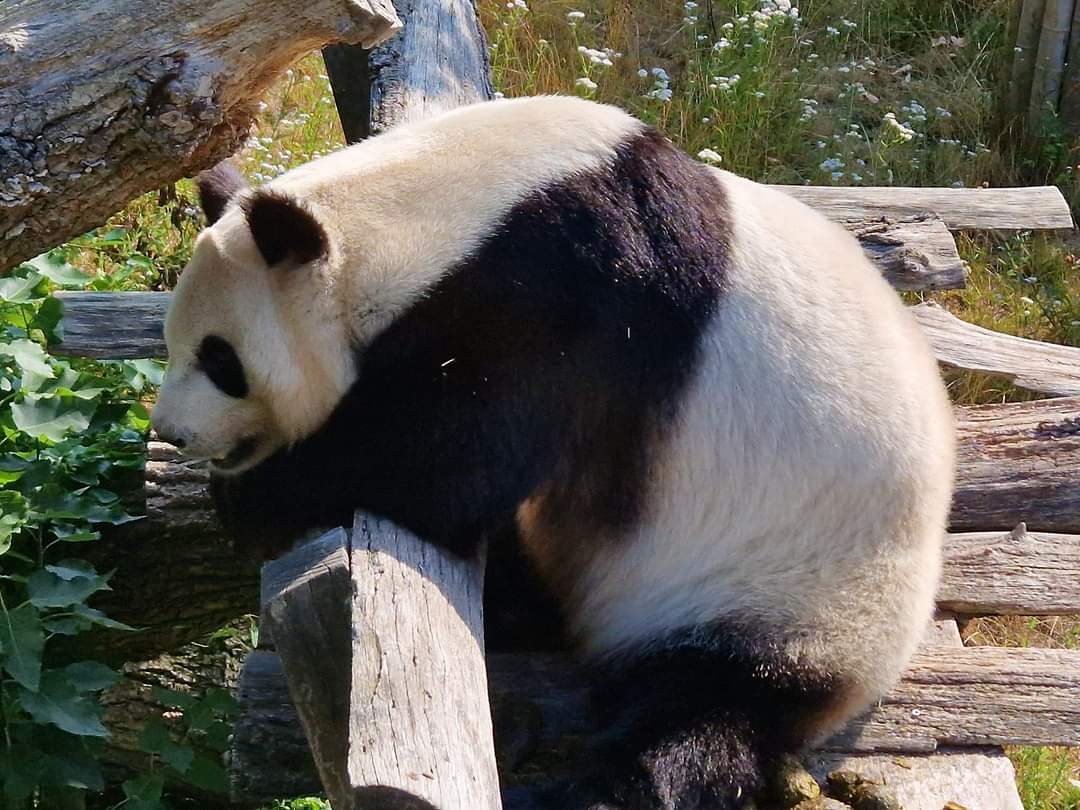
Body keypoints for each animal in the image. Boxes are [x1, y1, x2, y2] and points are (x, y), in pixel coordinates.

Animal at [151, 95, 955, 809]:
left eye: (221, 360)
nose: (173, 432)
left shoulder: (567, 303)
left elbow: (449, 461)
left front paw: (255, 498)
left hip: (789, 592)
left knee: (700, 714)